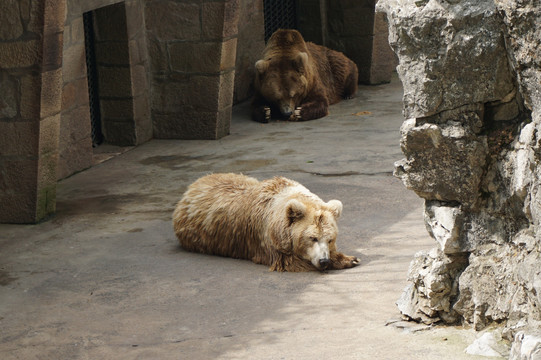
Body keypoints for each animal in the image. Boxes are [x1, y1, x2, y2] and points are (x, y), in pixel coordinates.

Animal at [172, 173, 358, 272]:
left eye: (330, 239)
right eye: (312, 238)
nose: (323, 261)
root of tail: (189, 189)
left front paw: (350, 258)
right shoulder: (269, 242)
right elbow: (291, 260)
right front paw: (346, 260)